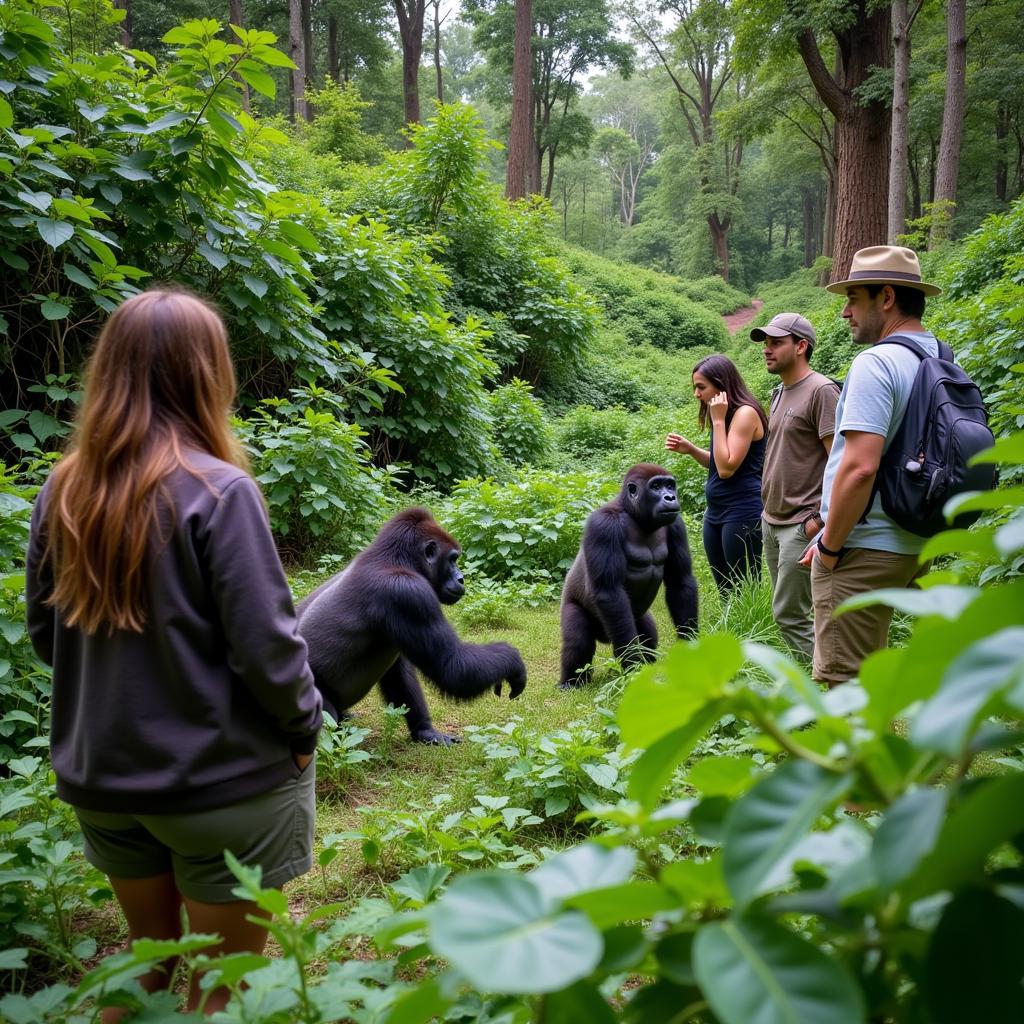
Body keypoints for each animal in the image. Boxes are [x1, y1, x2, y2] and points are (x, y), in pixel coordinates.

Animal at [292, 509, 524, 745]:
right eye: (452, 560)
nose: (462, 578)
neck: (395, 558)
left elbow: (400, 674)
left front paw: (424, 730)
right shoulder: (410, 594)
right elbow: (453, 667)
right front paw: (512, 660)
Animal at [557, 464, 700, 688]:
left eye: (669, 485)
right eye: (656, 486)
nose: (670, 497)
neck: (633, 513)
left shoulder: (676, 525)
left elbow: (680, 581)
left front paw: (691, 647)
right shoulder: (603, 526)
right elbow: (609, 591)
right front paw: (632, 662)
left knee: (648, 632)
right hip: (572, 606)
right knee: (578, 641)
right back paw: (570, 683)